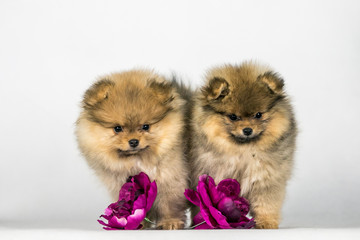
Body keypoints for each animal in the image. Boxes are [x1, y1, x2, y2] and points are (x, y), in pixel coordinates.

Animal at [75, 69, 190, 229]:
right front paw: (135, 222)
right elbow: (132, 205)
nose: (134, 141)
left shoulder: (171, 178)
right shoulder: (122, 185)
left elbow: (169, 203)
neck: (137, 161)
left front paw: (170, 222)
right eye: (118, 128)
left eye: (146, 126)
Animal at [190, 62, 296, 229]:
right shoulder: (211, 174)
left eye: (258, 115)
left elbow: (266, 203)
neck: (243, 150)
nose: (247, 130)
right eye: (233, 117)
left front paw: (266, 222)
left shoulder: (266, 178)